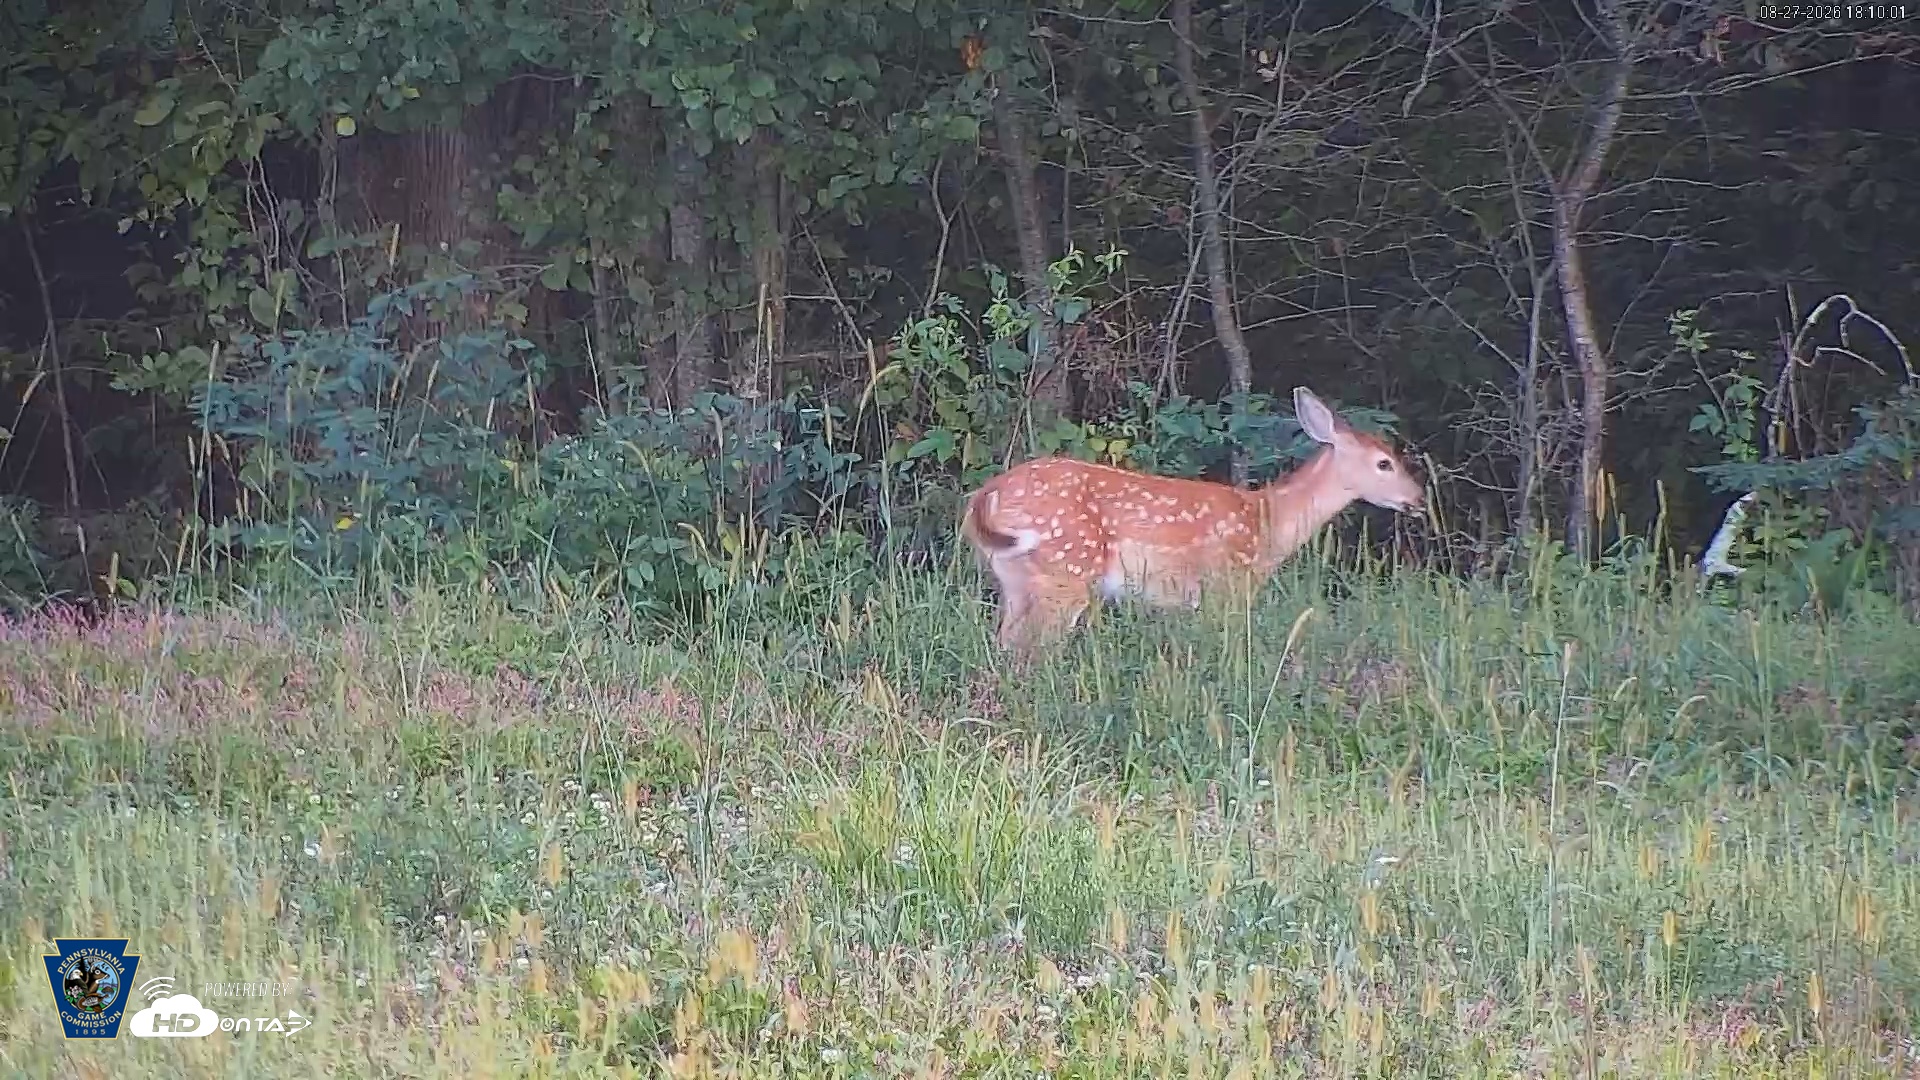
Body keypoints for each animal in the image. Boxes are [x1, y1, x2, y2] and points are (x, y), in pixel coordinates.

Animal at [960, 386, 1426, 656]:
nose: (1418, 499)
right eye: (1384, 463)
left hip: (1014, 578)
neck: (1268, 522)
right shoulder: (1228, 587)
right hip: (1067, 571)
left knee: (1006, 645)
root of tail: (985, 497)